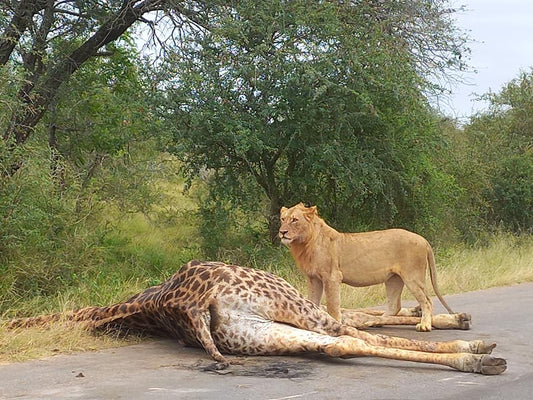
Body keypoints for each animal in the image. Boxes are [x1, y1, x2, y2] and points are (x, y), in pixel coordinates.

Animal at [278, 203, 454, 332]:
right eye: (282, 219)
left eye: (294, 220)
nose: (282, 232)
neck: (304, 244)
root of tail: (423, 239)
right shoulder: (313, 278)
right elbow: (312, 301)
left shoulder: (332, 277)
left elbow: (333, 305)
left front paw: (335, 323)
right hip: (393, 279)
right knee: (394, 306)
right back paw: (377, 320)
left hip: (413, 277)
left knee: (427, 301)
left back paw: (424, 325)